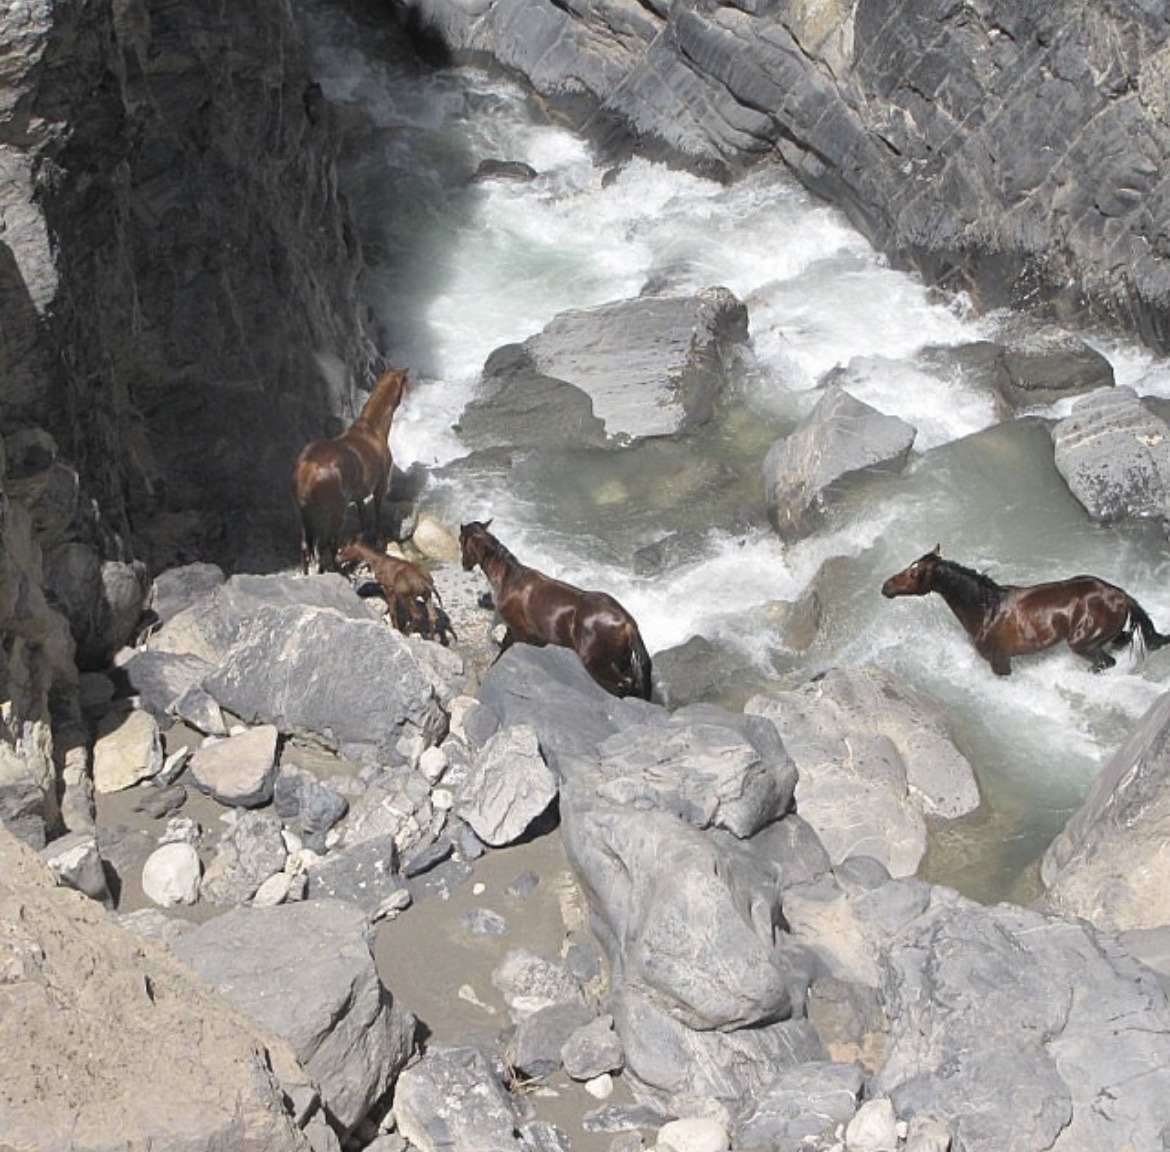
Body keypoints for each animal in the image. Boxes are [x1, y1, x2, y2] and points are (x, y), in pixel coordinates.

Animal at [293, 367, 408, 574]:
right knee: (330, 544)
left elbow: (362, 521)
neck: (372, 429)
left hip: (304, 515)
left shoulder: (360, 496)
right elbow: (377, 517)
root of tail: (308, 468)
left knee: (306, 546)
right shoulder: (380, 488)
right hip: (338, 512)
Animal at [459, 520, 653, 700]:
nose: (464, 565)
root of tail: (628, 622)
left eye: (461, 539)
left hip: (598, 663)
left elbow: (502, 653)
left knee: (625, 684)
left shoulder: (518, 632)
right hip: (622, 662)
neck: (510, 580)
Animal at [881, 546, 1169, 676]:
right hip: (1109, 634)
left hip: (1083, 643)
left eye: (915, 573)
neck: (986, 610)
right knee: (1123, 641)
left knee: (1106, 662)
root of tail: (1121, 595)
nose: (886, 587)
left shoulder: (1000, 661)